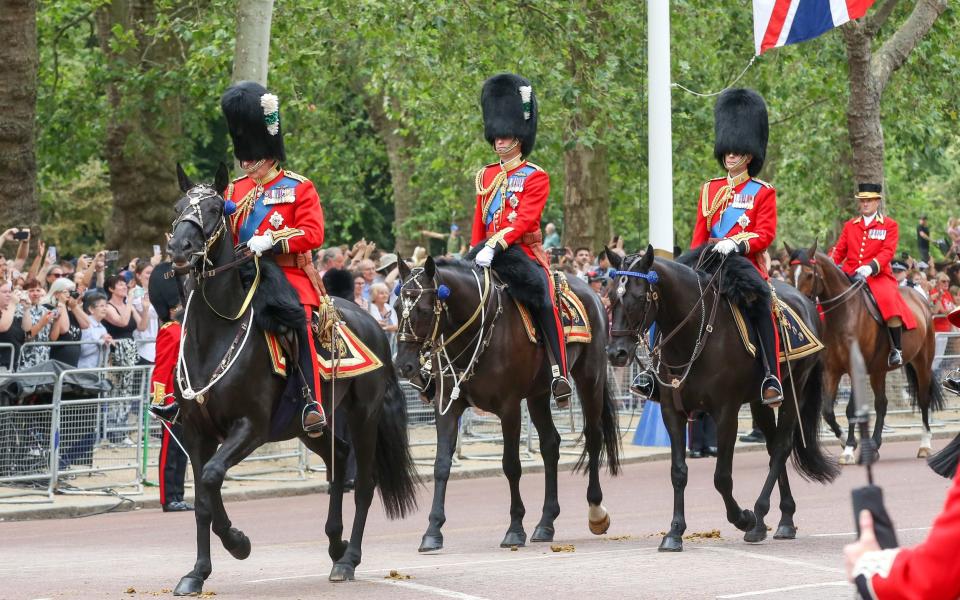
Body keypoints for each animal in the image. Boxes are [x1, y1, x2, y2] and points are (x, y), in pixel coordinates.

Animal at [166, 165, 420, 596]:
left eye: (216, 209)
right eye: (179, 205)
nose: (180, 249)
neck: (215, 334)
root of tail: (371, 323)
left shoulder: (251, 427)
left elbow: (213, 477)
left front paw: (238, 543)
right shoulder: (196, 431)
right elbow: (201, 498)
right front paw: (197, 573)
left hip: (363, 415)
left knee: (364, 483)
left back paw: (349, 559)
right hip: (308, 427)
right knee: (339, 459)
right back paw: (336, 543)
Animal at [394, 255, 620, 552]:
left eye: (422, 309)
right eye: (397, 307)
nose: (403, 365)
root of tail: (593, 293)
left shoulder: (509, 408)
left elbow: (511, 465)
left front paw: (514, 528)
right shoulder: (447, 407)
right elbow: (441, 464)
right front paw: (432, 530)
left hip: (589, 378)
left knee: (593, 437)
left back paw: (596, 511)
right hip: (537, 395)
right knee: (550, 445)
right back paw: (546, 523)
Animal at [608, 246, 840, 552]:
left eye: (637, 297)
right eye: (611, 297)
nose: (616, 353)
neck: (692, 334)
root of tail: (806, 302)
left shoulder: (726, 413)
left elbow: (722, 478)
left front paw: (743, 518)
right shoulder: (672, 412)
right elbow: (678, 472)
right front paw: (674, 532)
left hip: (793, 390)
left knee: (781, 447)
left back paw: (760, 516)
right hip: (758, 402)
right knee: (772, 447)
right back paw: (784, 519)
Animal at [788, 241, 944, 462]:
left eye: (809, 274)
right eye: (790, 272)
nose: (797, 303)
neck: (844, 313)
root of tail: (920, 298)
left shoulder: (856, 369)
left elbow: (852, 409)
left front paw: (849, 448)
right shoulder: (831, 371)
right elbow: (827, 411)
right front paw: (844, 440)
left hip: (922, 363)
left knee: (923, 400)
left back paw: (924, 444)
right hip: (879, 370)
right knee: (881, 403)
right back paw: (875, 444)